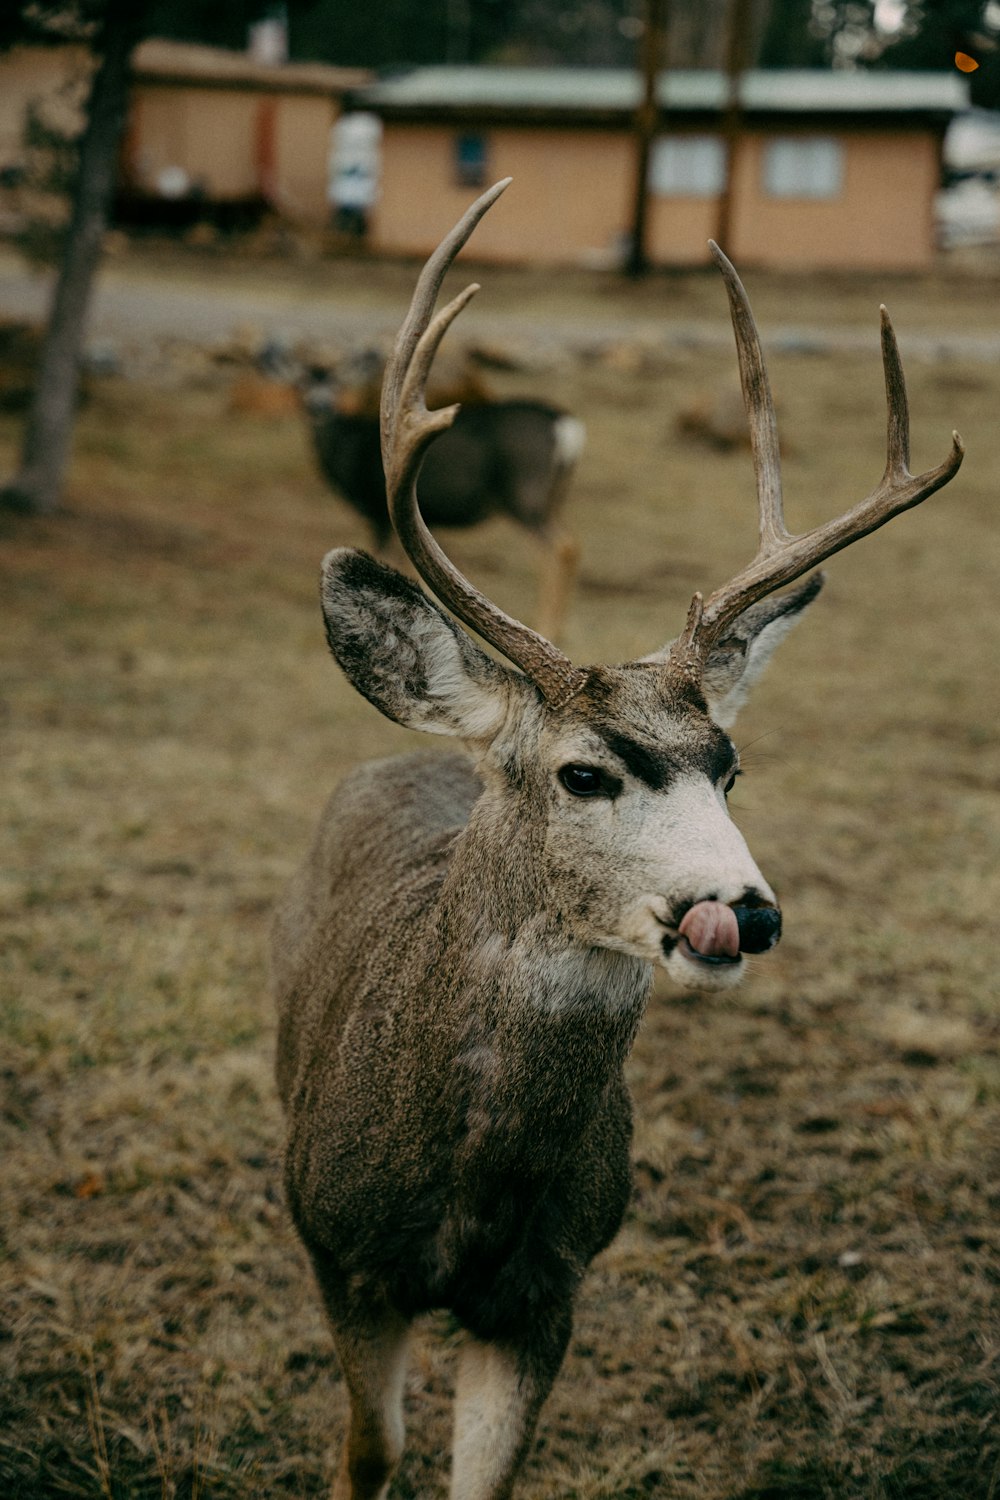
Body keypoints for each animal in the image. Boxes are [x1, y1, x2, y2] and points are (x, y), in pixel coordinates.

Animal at [305, 343, 587, 642]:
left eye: (338, 381)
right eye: (302, 380)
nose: (317, 406)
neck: (347, 449)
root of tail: (568, 428)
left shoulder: (379, 514)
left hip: (525, 496)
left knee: (560, 548)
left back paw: (547, 625)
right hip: (553, 497)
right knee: (570, 545)